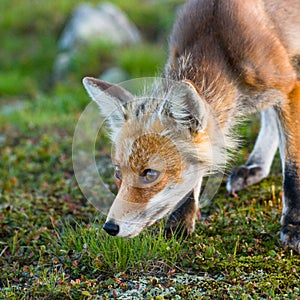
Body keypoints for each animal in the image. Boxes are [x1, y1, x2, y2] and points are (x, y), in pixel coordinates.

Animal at [83, 0, 300, 251]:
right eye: (118, 172)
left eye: (150, 173)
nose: (110, 227)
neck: (214, 43)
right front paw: (180, 222)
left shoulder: (290, 86)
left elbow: (292, 169)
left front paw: (294, 226)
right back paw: (256, 166)